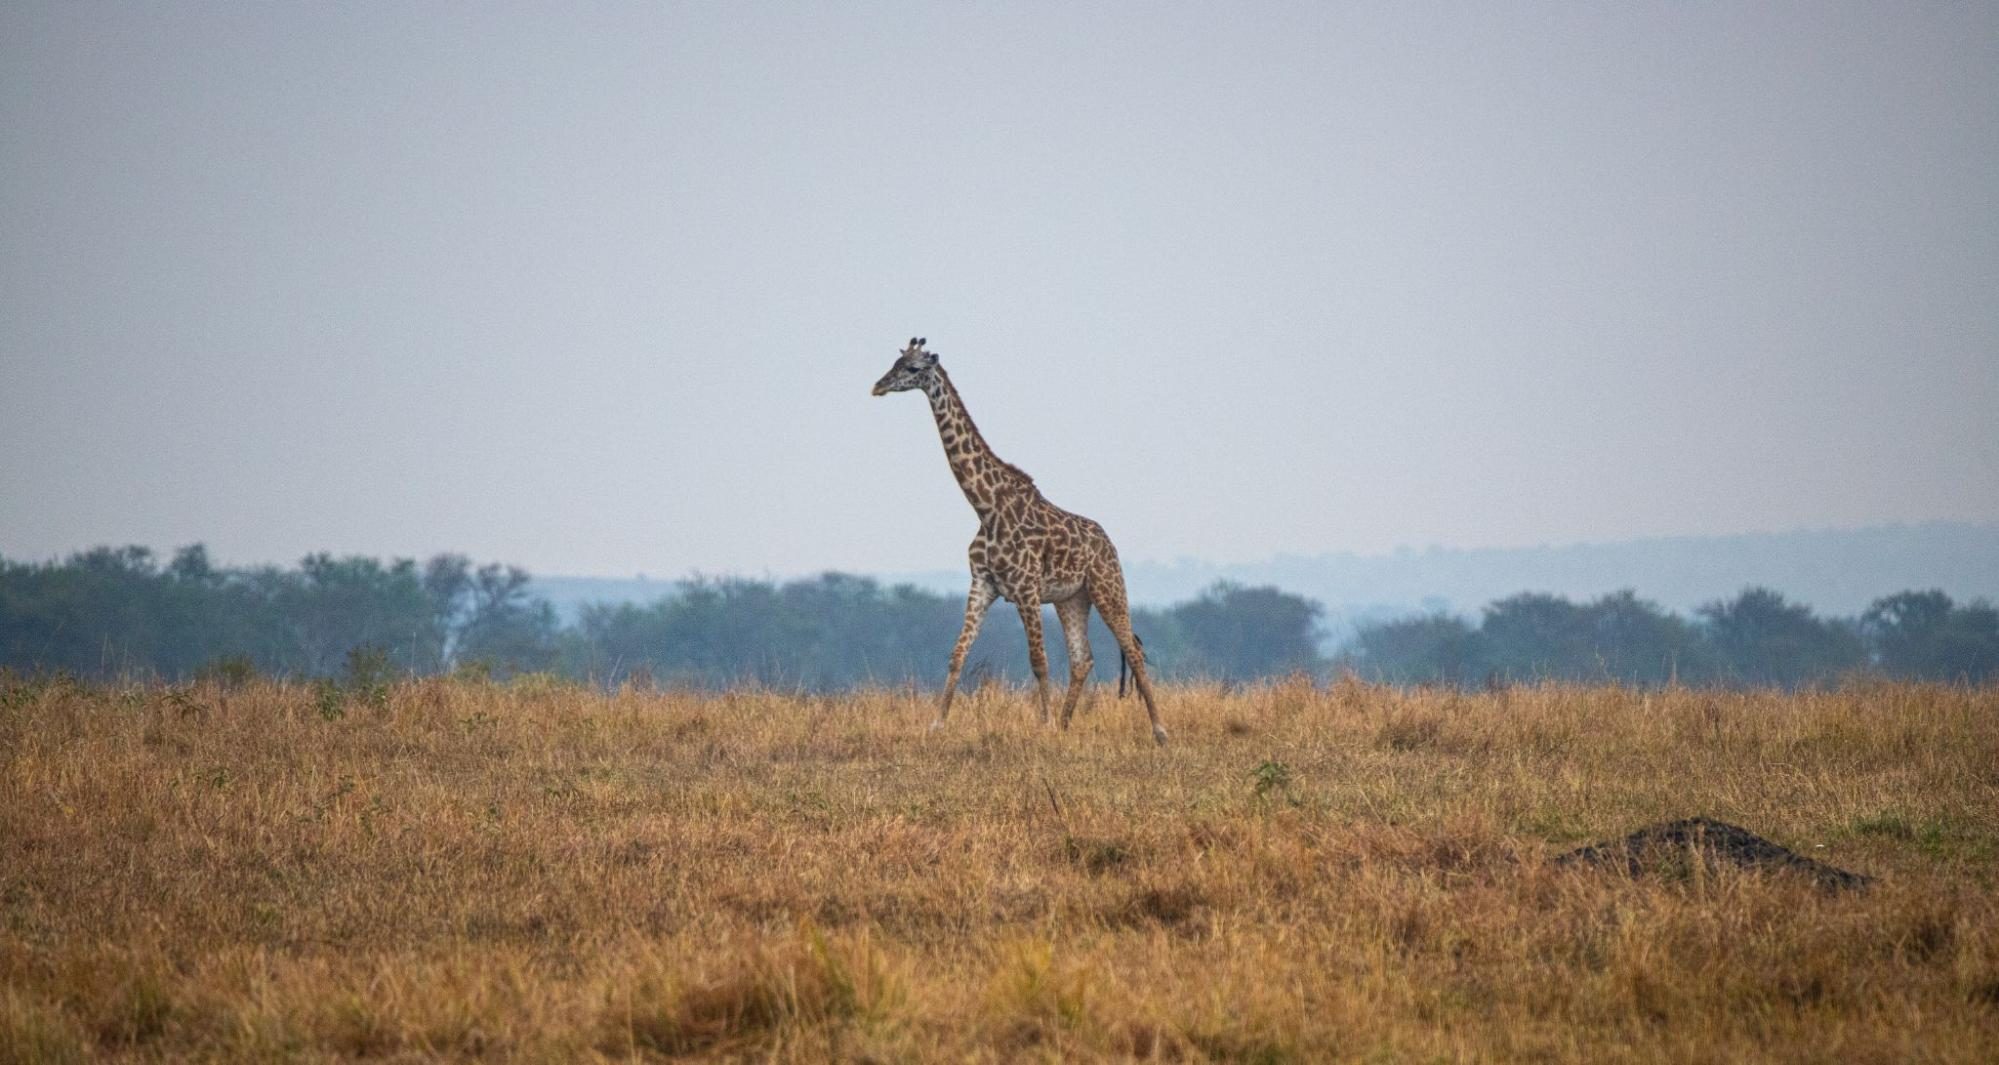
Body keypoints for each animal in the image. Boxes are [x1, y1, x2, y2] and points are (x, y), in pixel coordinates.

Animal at [875, 335, 1167, 743]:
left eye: (913, 368)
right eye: (895, 362)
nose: (878, 386)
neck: (986, 507)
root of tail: (1109, 543)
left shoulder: (1026, 588)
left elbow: (1039, 661)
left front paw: (1042, 724)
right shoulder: (982, 584)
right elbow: (957, 655)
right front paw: (937, 723)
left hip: (1108, 587)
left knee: (1133, 651)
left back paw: (1159, 730)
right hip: (1072, 598)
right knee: (1083, 658)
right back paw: (1065, 723)